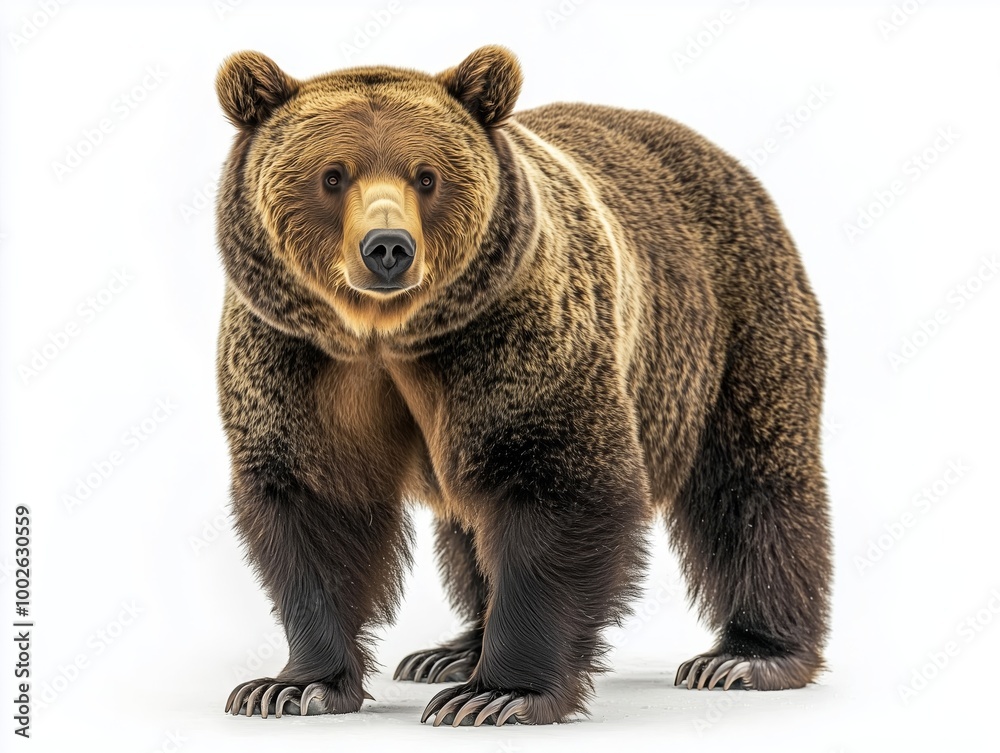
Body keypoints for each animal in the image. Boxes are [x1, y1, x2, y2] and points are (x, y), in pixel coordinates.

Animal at [215, 45, 831, 727]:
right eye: (332, 175)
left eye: (426, 176)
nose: (388, 248)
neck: (388, 337)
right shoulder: (300, 358)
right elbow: (315, 500)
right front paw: (292, 687)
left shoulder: (517, 334)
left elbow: (556, 485)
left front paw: (499, 693)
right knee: (468, 524)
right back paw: (451, 650)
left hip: (729, 322)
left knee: (752, 483)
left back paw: (747, 657)